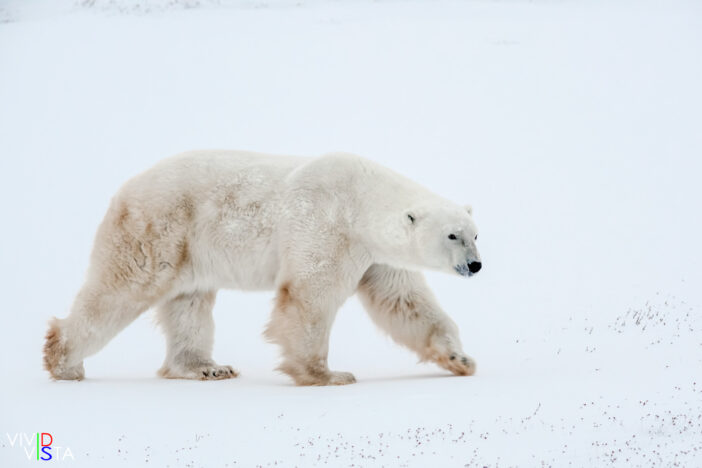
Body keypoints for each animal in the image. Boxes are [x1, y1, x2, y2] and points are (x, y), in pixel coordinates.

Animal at [43, 151, 482, 385]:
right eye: (452, 236)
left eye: (476, 233)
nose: (476, 265)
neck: (361, 201)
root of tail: (123, 190)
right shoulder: (325, 224)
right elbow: (308, 297)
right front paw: (327, 374)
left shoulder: (375, 256)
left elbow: (405, 303)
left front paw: (460, 360)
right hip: (158, 228)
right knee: (124, 287)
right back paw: (63, 362)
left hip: (189, 246)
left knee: (189, 304)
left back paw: (208, 368)